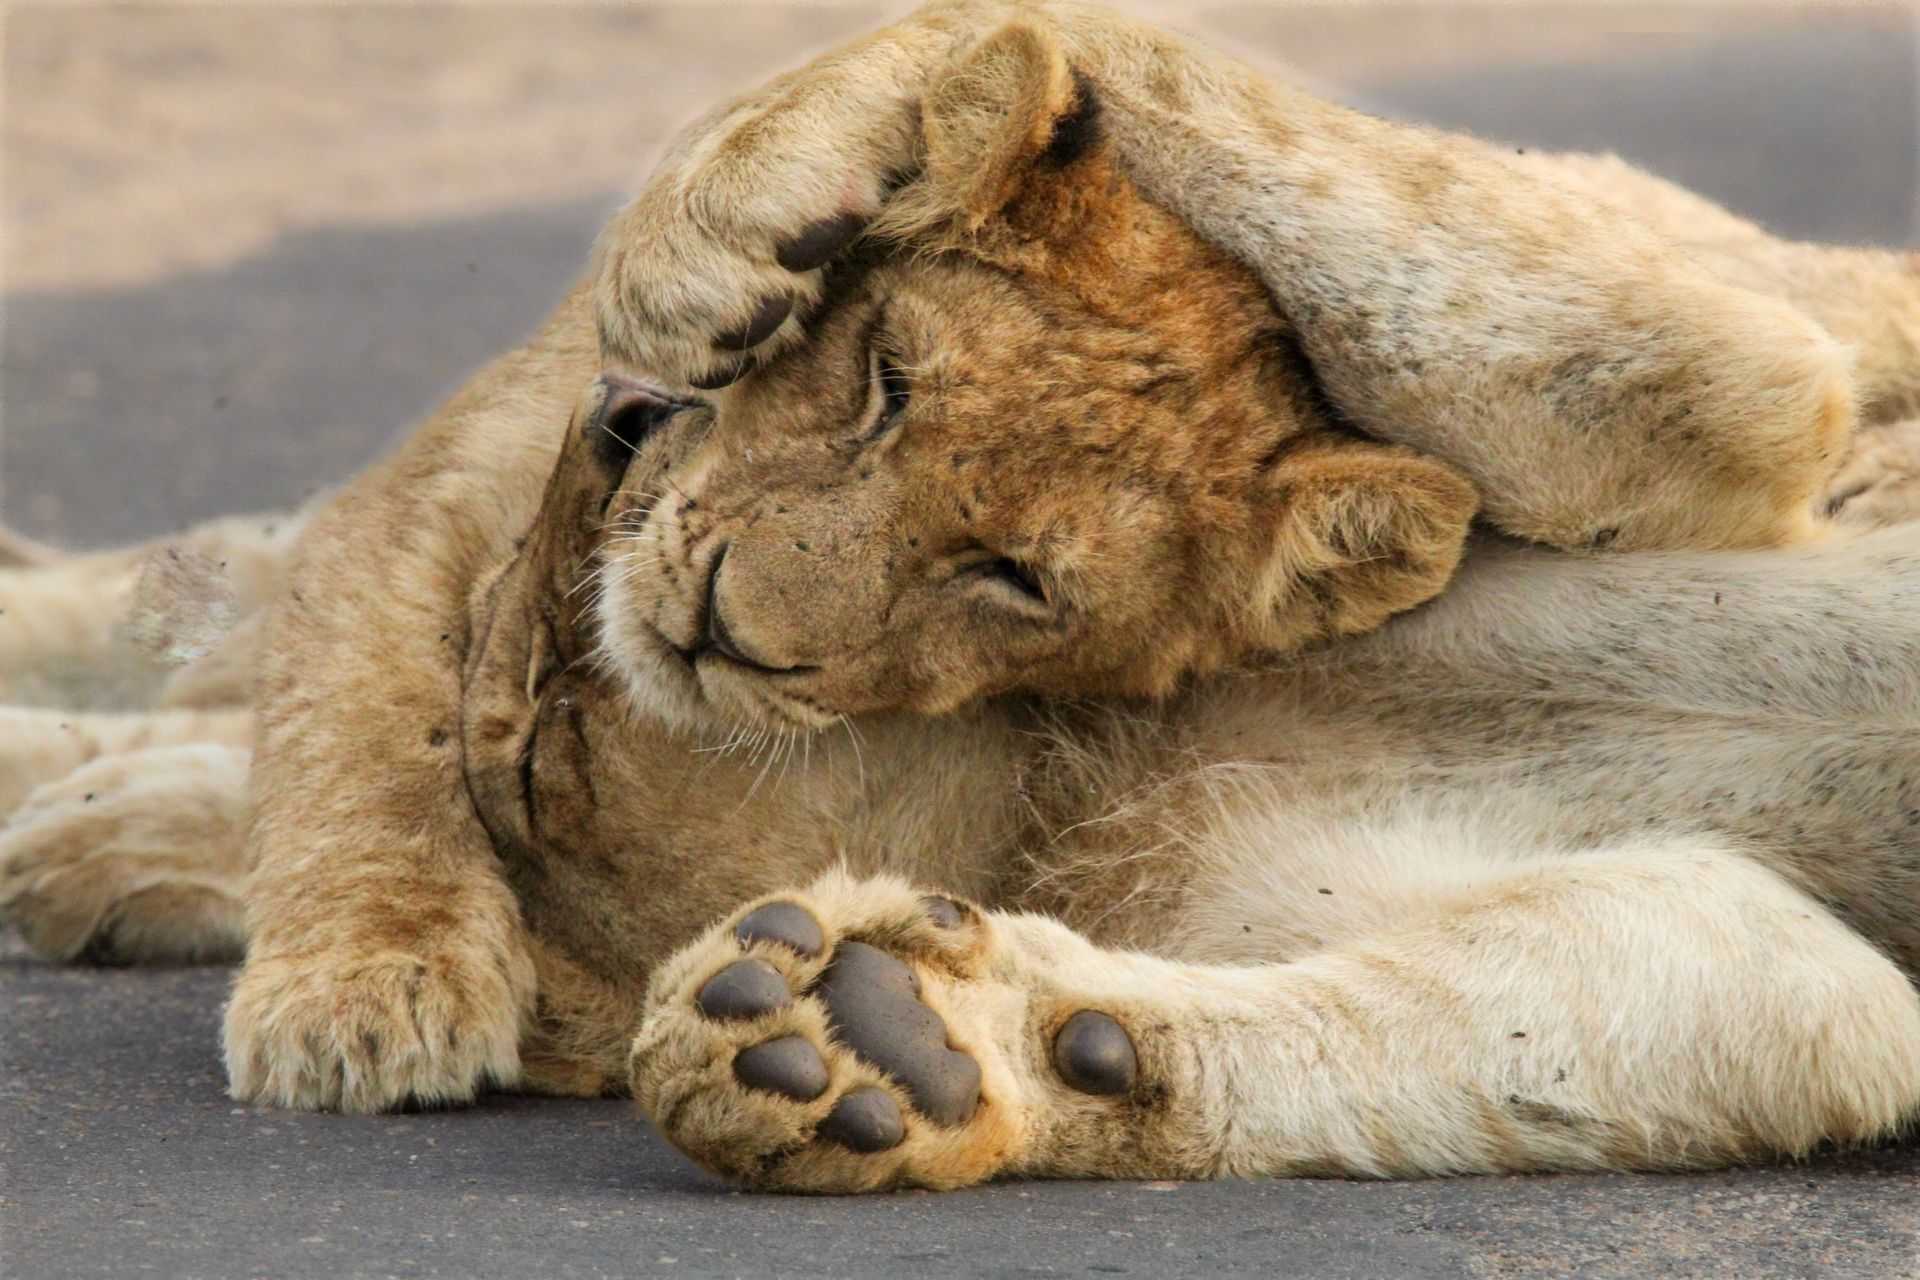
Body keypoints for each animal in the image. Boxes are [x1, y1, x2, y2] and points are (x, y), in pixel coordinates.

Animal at [5, 0, 1920, 1192]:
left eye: (1012, 577)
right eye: (885, 382)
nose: (714, 612)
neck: (1062, 764)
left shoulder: (1749, 938)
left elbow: (1694, 991)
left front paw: (893, 1045)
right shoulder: (1730, 386)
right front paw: (770, 195)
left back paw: (90, 836)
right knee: (234, 588)